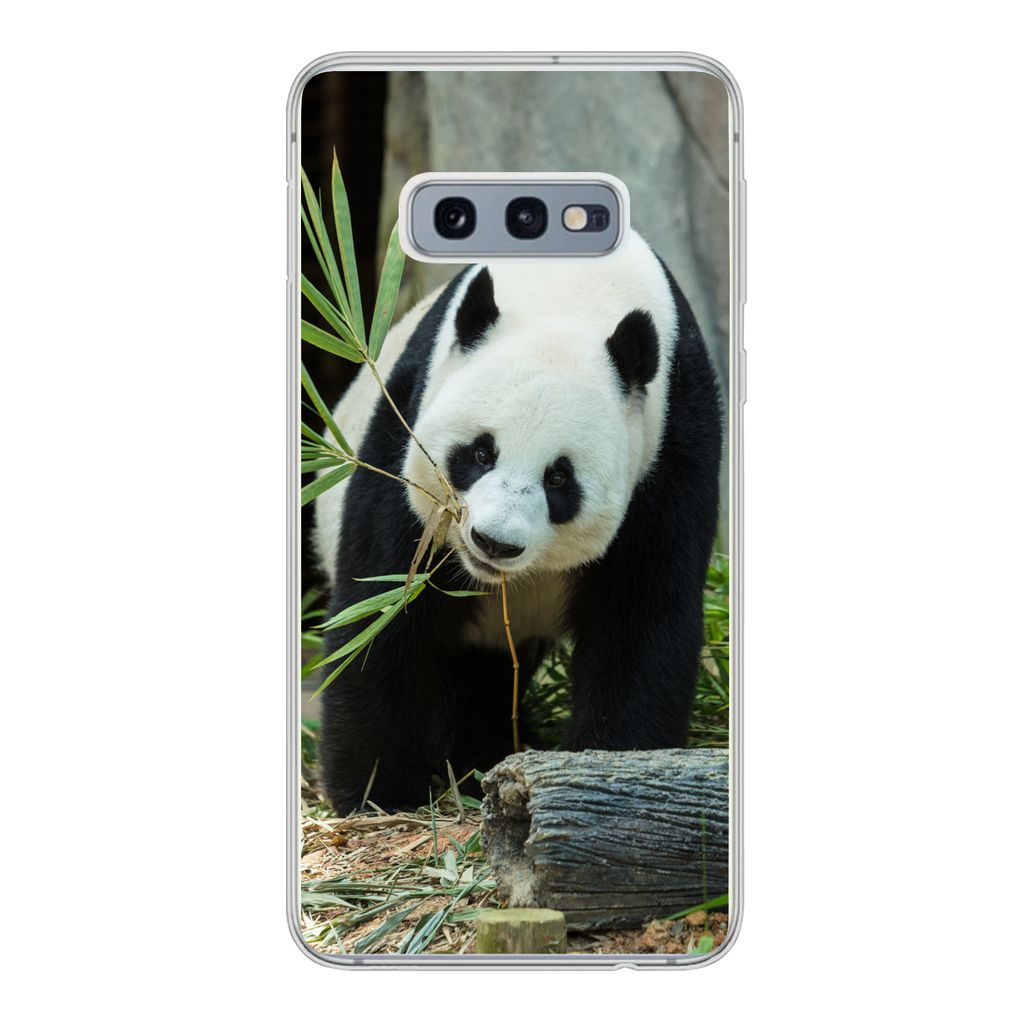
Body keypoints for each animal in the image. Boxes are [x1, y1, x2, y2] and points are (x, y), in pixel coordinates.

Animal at [313, 230, 722, 814]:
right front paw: (379, 792)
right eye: (481, 453)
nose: (494, 543)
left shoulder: (671, 445)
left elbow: (641, 618)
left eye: (559, 478)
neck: (569, 293)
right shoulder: (406, 422)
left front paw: (613, 768)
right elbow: (385, 609)